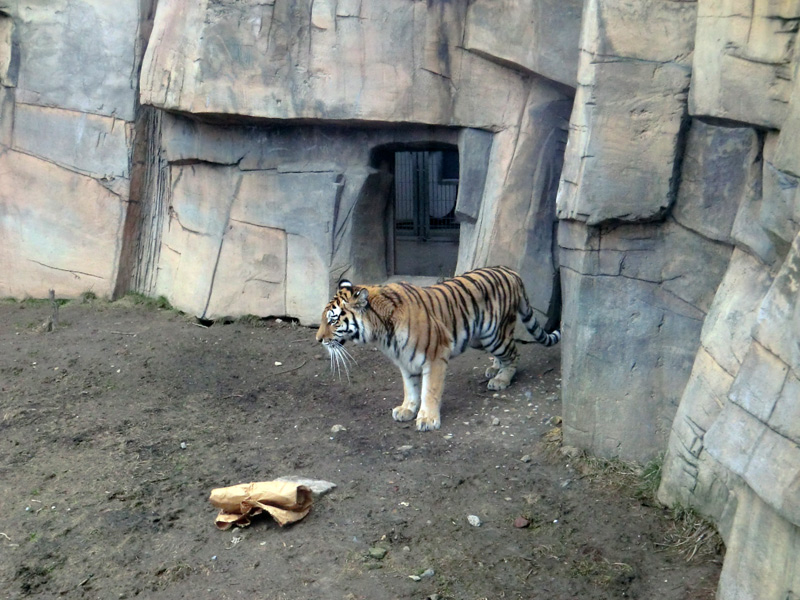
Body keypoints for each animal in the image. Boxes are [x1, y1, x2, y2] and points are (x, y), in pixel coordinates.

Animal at [314, 268, 564, 432]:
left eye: (333, 320)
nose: (319, 339)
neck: (382, 333)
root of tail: (511, 271)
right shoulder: (405, 361)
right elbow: (410, 389)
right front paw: (406, 410)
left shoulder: (435, 356)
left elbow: (429, 391)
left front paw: (427, 419)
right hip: (479, 337)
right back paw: (494, 369)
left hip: (495, 334)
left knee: (513, 353)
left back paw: (501, 379)